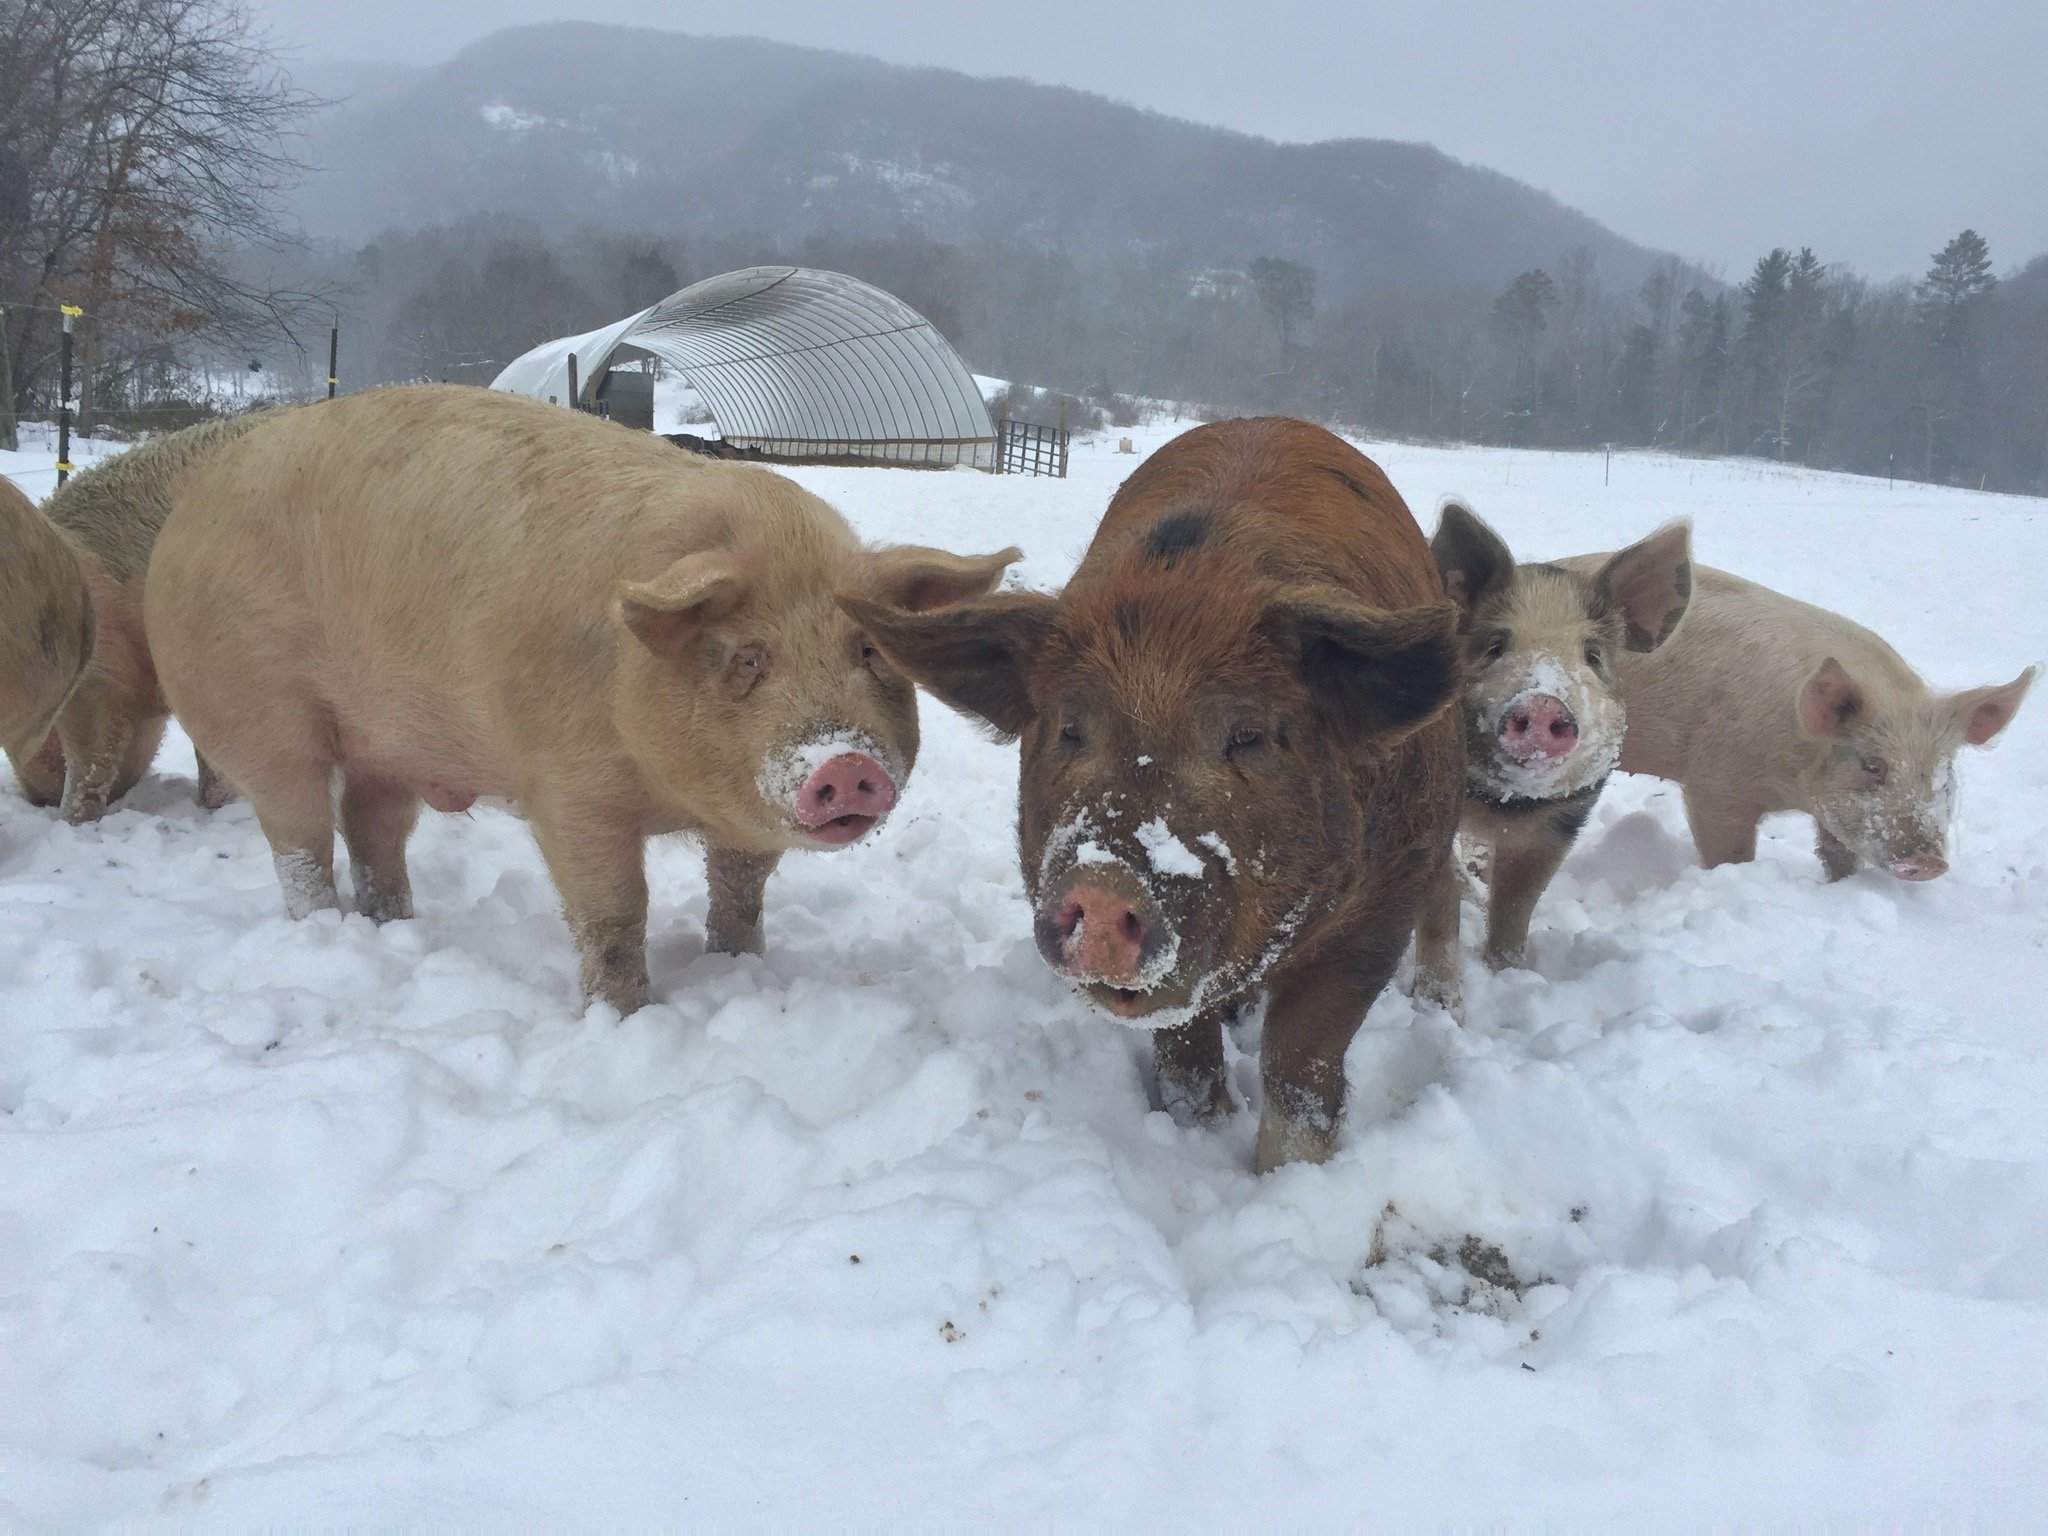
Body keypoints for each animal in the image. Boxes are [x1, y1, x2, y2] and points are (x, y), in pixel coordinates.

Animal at [143, 383, 1017, 1011]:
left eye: (867, 650)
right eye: (747, 658)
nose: (844, 764)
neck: (671, 794)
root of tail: (189, 499)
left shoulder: (746, 814)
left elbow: (740, 893)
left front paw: (737, 966)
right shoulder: (566, 789)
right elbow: (613, 915)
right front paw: (625, 1016)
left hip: (386, 745)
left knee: (373, 829)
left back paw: (396, 924)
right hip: (256, 711)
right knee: (298, 838)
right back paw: (326, 929)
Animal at [843, 417, 1462, 1172]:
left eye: (1249, 734)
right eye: (1070, 728)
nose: (1107, 883)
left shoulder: (1383, 902)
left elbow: (1303, 1064)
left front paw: (1287, 1175)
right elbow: (1185, 1047)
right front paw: (1200, 1128)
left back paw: (1443, 1006)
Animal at [1413, 500, 1692, 1013]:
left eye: (1593, 655)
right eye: (1495, 646)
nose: (1544, 703)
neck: (1502, 806)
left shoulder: (1560, 825)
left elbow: (1516, 906)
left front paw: (1508, 973)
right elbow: (1439, 906)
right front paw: (1440, 1009)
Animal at [1556, 553, 2033, 881]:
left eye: (1944, 774)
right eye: (1872, 765)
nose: (1930, 862)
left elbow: (1839, 854)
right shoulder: (1715, 784)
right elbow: (1729, 854)